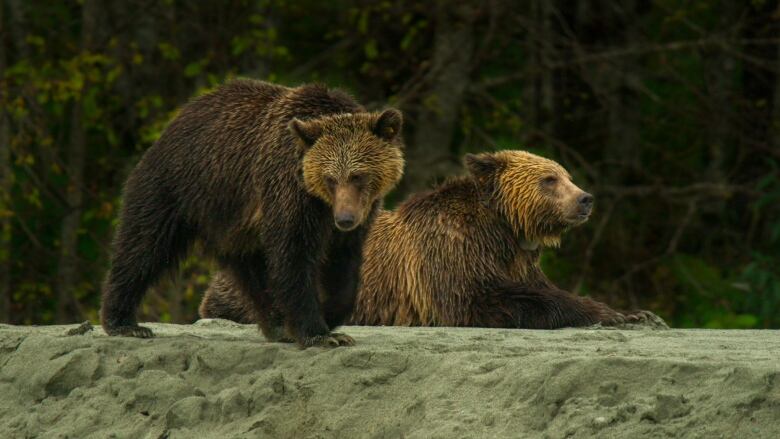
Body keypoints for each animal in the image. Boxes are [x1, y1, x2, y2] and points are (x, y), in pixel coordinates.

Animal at [100, 79, 406, 348]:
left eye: (358, 176)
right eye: (330, 178)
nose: (344, 219)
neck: (321, 203)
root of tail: (177, 119)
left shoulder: (358, 216)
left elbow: (344, 267)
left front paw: (330, 317)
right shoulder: (288, 192)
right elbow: (293, 256)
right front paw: (318, 332)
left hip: (235, 223)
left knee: (252, 270)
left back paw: (276, 324)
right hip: (180, 186)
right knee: (144, 244)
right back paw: (124, 322)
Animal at [201, 151, 664, 330]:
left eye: (566, 174)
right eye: (549, 179)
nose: (585, 199)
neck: (504, 230)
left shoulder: (518, 259)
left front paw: (638, 313)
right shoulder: (448, 254)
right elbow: (482, 300)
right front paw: (604, 314)